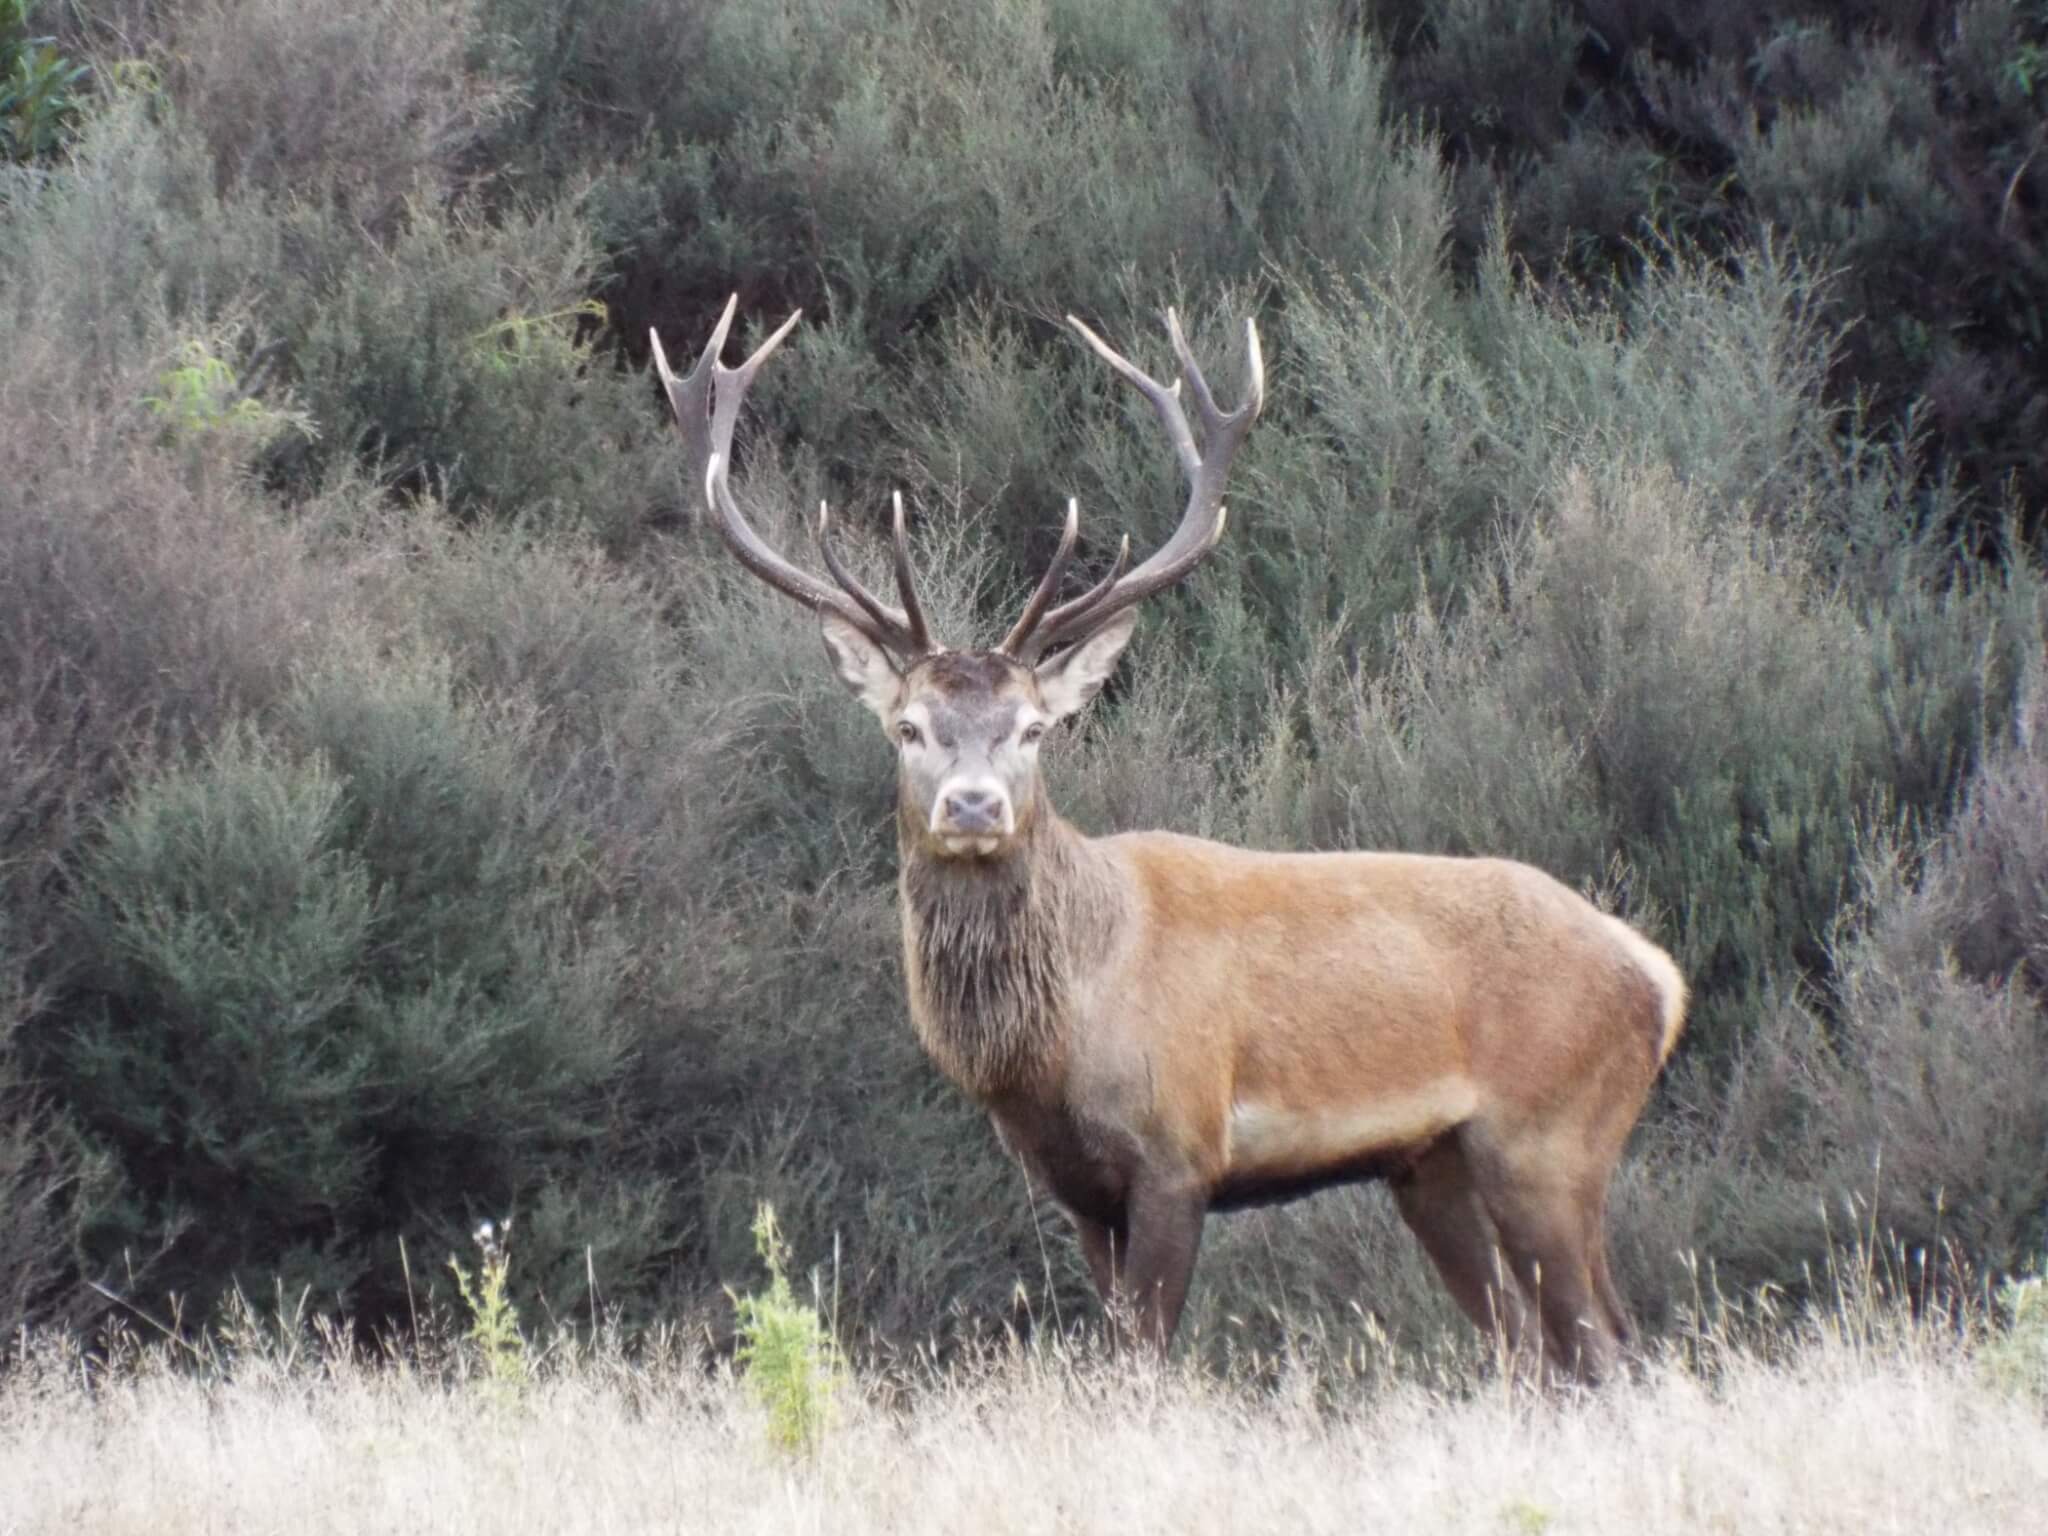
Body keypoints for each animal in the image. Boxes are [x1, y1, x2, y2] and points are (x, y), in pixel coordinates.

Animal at [650, 298, 1688, 1382]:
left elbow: (1143, 1361)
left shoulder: (1176, 1152)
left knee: (1606, 1343)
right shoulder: (1075, 1190)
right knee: (1529, 1347)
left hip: (1550, 1136)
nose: (973, 808)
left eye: (1034, 727)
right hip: (1432, 1165)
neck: (1054, 1043)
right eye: (908, 727)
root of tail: (1657, 976)